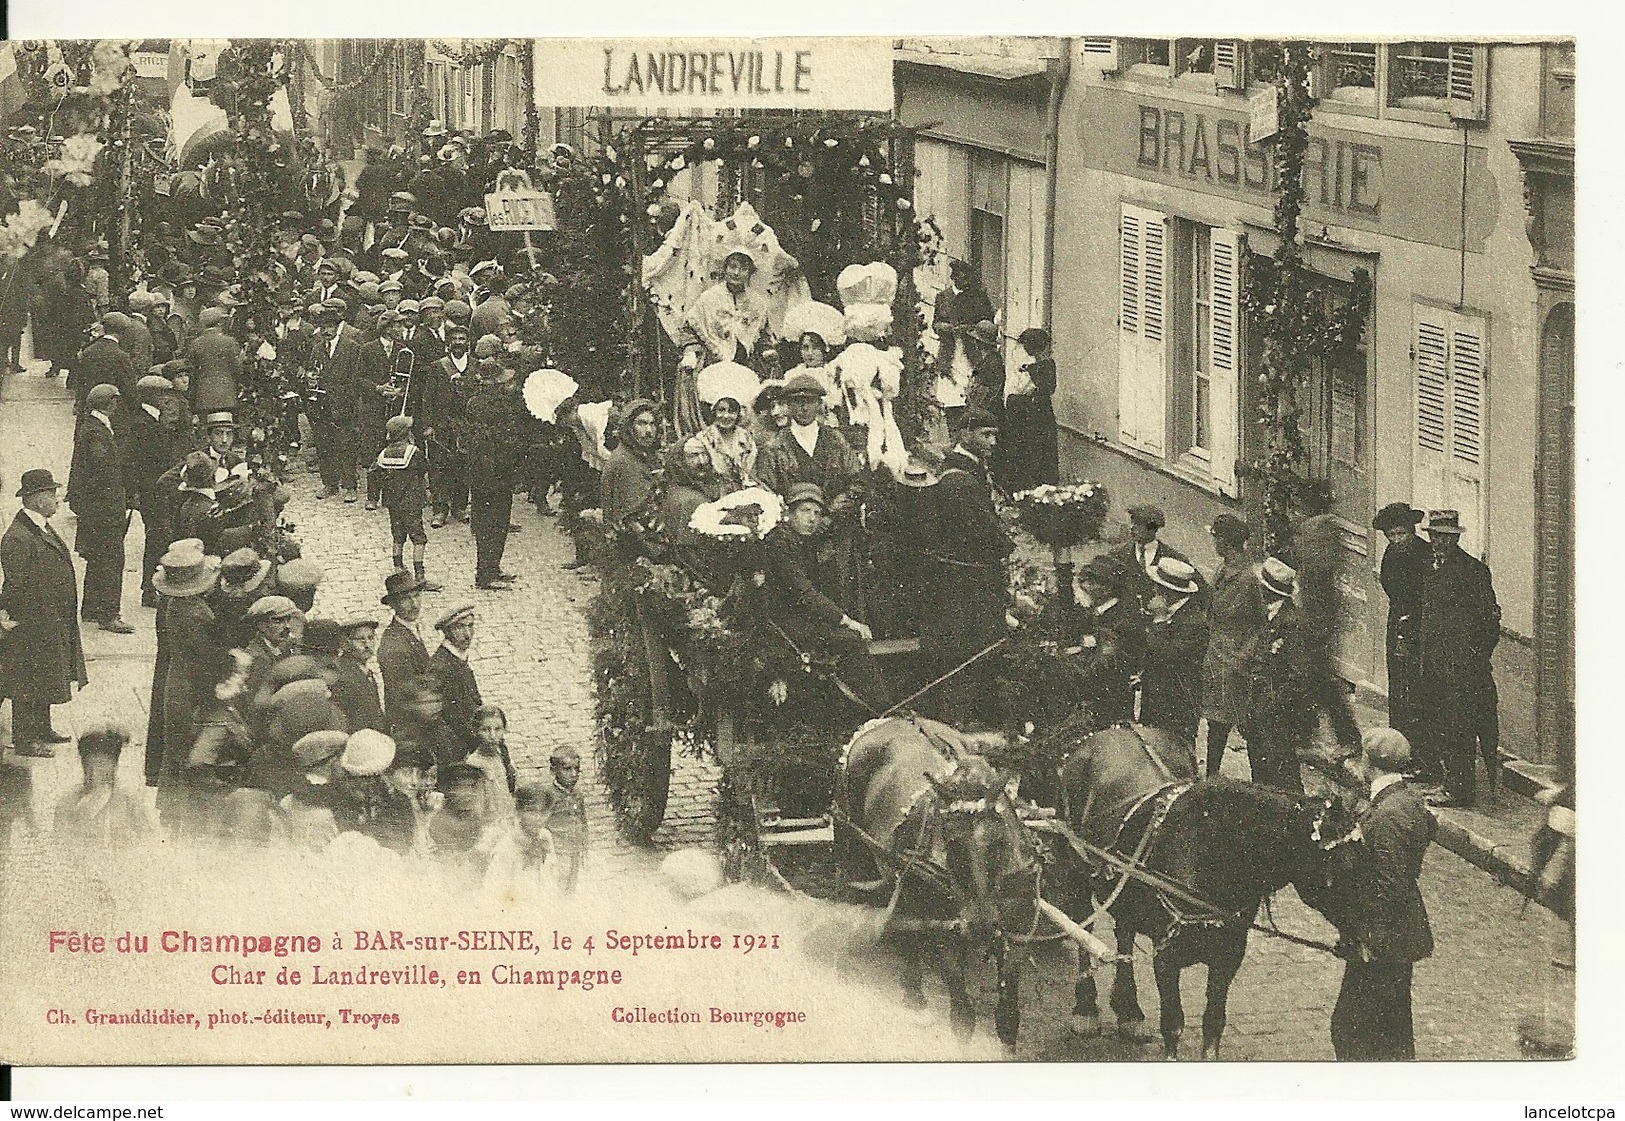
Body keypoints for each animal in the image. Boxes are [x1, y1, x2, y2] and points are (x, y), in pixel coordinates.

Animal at [838, 711, 1040, 1046]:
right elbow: (961, 1013)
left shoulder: (1019, 927)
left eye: (999, 843)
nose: (981, 924)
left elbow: (1008, 1012)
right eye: (951, 844)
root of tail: (890, 720)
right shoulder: (943, 925)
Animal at [1046, 724, 1365, 1059]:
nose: (1366, 940)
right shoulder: (1167, 955)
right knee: (1083, 927)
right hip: (1076, 873)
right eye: (1340, 865)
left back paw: (1129, 1010)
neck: (1208, 854)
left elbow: (1213, 1023)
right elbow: (1173, 1023)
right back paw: (1085, 1009)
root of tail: (1109, 731)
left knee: (1124, 932)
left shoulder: (1229, 955)